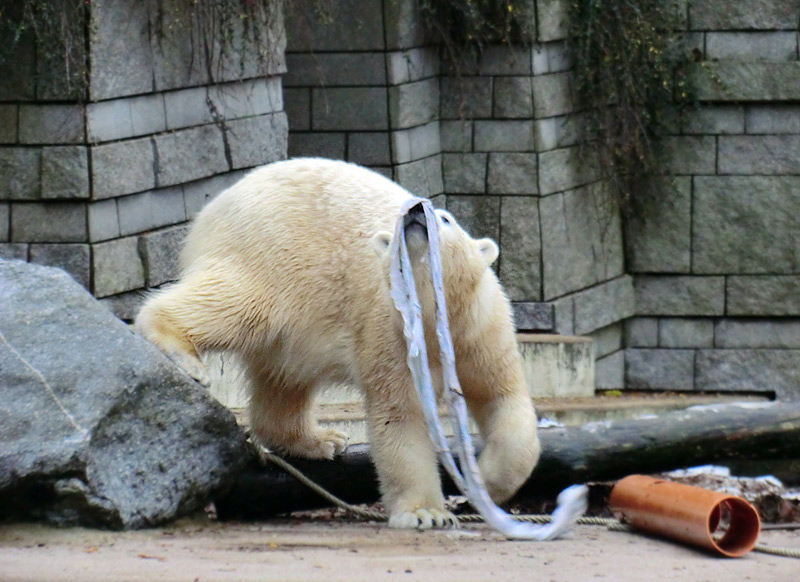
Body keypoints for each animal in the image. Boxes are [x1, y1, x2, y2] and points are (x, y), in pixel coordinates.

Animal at [134, 159, 540, 528]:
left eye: (445, 219)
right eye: (397, 220)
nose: (413, 212)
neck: (431, 317)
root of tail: (216, 203)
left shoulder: (480, 331)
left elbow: (504, 399)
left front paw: (486, 485)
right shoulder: (390, 332)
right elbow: (401, 417)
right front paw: (425, 513)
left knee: (283, 378)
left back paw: (320, 440)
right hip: (270, 252)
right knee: (239, 304)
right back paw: (178, 349)